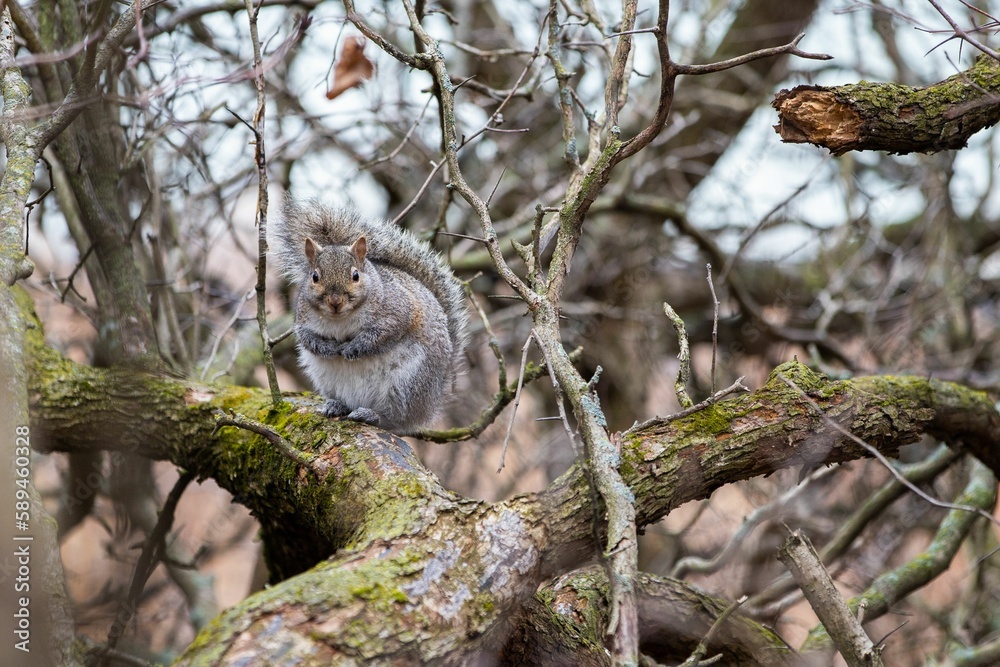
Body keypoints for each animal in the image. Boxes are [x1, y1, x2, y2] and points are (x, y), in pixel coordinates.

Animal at [270, 200, 467, 434]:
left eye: (355, 275)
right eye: (315, 276)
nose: (335, 302)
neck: (340, 320)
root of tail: (430, 403)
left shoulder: (399, 311)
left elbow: (382, 335)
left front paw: (352, 348)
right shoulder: (303, 321)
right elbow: (308, 339)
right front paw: (328, 348)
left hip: (405, 384)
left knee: (396, 420)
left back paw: (372, 415)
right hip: (328, 380)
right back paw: (337, 405)